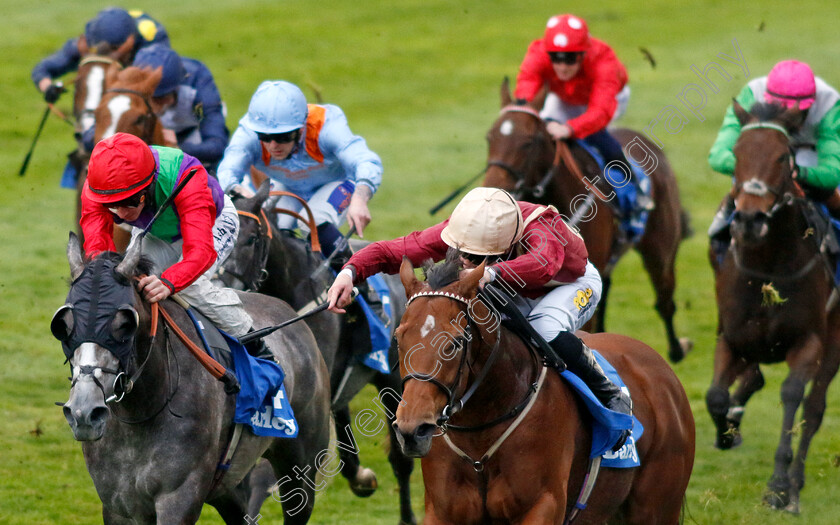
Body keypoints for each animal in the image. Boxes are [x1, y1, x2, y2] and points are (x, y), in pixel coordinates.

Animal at [50, 234, 334, 524]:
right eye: (63, 325)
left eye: (125, 323)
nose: (84, 411)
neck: (141, 412)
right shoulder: (119, 504)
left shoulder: (180, 496)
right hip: (227, 485)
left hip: (300, 466)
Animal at [394, 256, 696, 524]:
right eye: (398, 338)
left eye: (455, 342)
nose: (413, 429)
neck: (478, 435)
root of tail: (664, 373)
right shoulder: (442, 512)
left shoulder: (542, 505)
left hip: (655, 508)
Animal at [482, 79, 692, 364]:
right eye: (490, 138)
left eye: (529, 142)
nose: (492, 188)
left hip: (661, 247)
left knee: (665, 298)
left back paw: (677, 349)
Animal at [704, 100, 840, 512]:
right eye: (737, 153)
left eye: (783, 156)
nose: (749, 220)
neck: (767, 266)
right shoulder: (731, 337)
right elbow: (715, 396)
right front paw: (726, 433)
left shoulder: (809, 340)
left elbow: (793, 396)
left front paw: (778, 487)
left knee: (813, 409)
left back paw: (795, 484)